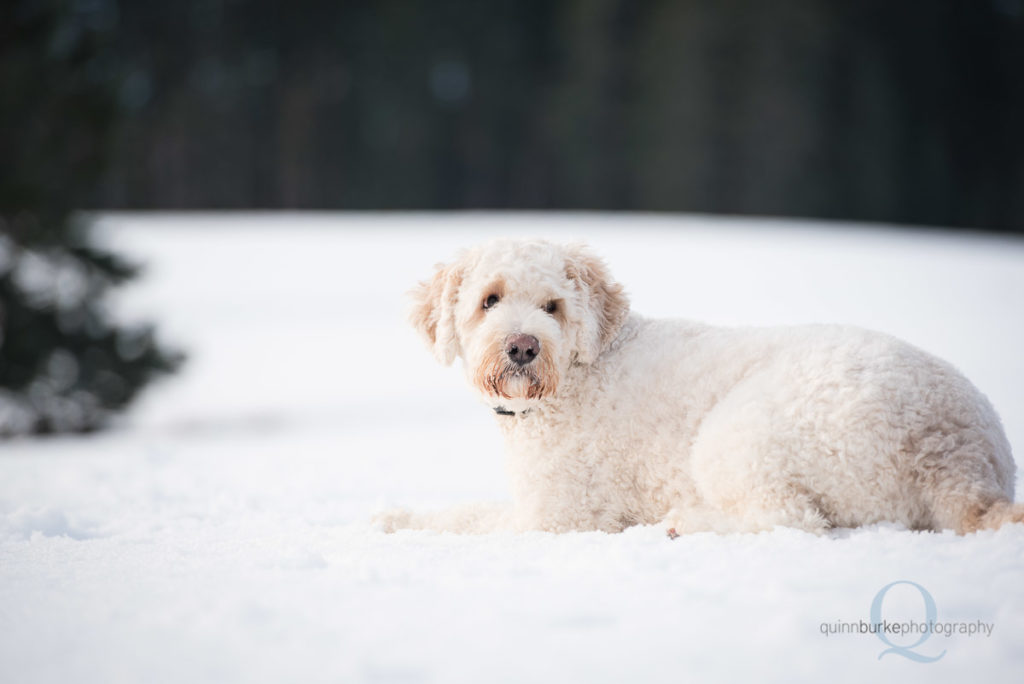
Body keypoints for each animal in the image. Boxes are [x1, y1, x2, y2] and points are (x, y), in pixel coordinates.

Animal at [378, 237, 1024, 536]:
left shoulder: (558, 515)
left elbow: (465, 521)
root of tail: (959, 461)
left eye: (552, 307)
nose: (522, 346)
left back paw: (683, 522)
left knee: (792, 519)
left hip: (739, 434)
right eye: (489, 300)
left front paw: (392, 523)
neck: (579, 375)